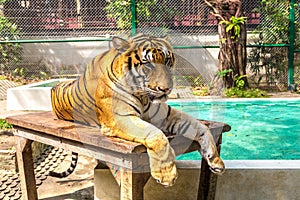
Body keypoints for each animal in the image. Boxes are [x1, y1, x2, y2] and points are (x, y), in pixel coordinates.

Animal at [50, 33, 224, 187]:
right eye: (148, 64)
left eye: (167, 60)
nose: (166, 89)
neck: (144, 96)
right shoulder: (121, 118)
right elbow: (156, 135)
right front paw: (166, 174)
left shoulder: (165, 115)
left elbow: (201, 127)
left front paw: (215, 160)